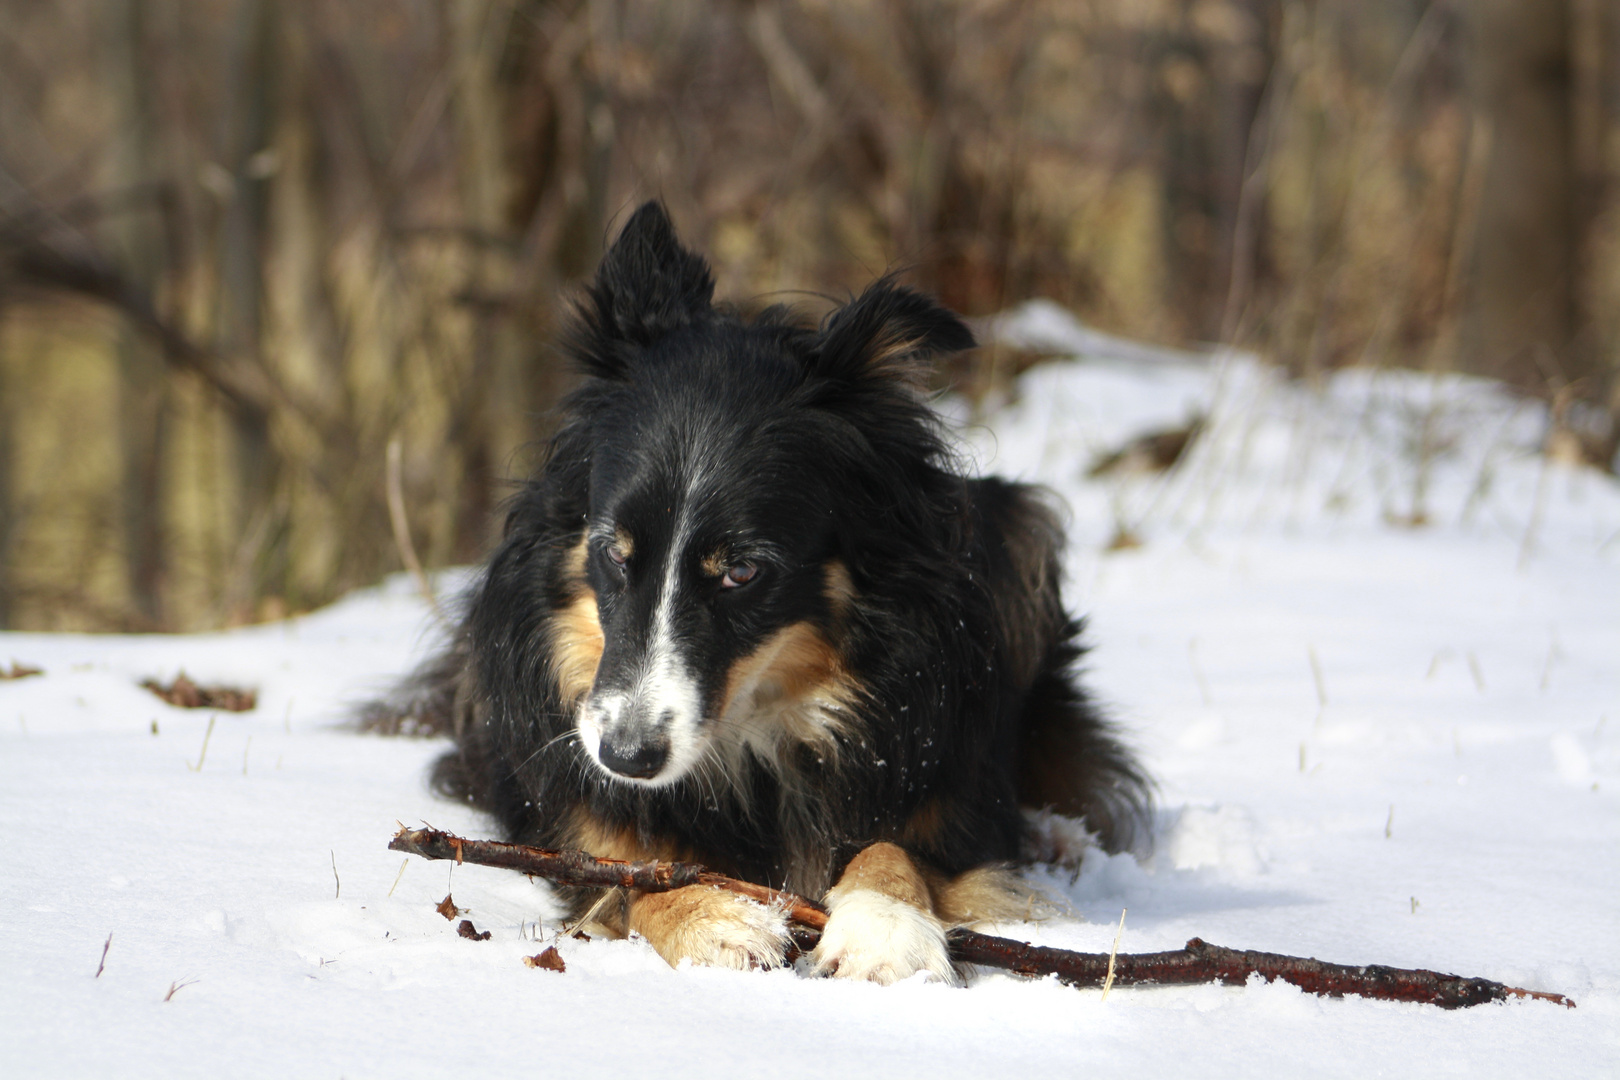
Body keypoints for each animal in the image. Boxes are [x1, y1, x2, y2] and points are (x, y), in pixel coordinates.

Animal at [372, 198, 1146, 984]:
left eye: (741, 571)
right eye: (614, 552)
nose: (626, 758)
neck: (755, 729)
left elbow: (897, 843)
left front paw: (884, 931)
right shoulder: (580, 812)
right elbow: (633, 868)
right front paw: (715, 920)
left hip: (1022, 533)